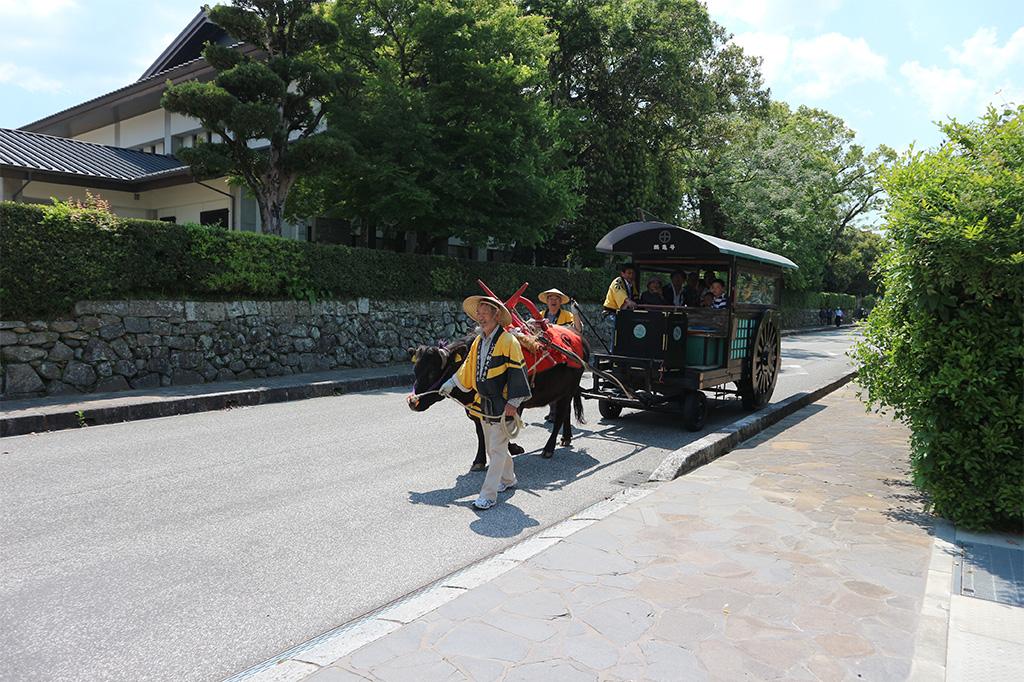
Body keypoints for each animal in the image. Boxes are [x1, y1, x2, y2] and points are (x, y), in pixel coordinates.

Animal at [405, 331, 589, 471]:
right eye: (415, 371)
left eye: (432, 372)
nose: (412, 402)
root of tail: (578, 336)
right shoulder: (475, 409)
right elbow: (480, 433)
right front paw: (479, 460)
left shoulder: (511, 405)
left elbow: (502, 430)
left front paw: (513, 448)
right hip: (563, 391)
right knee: (565, 412)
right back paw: (566, 438)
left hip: (568, 390)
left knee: (559, 417)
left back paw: (549, 449)